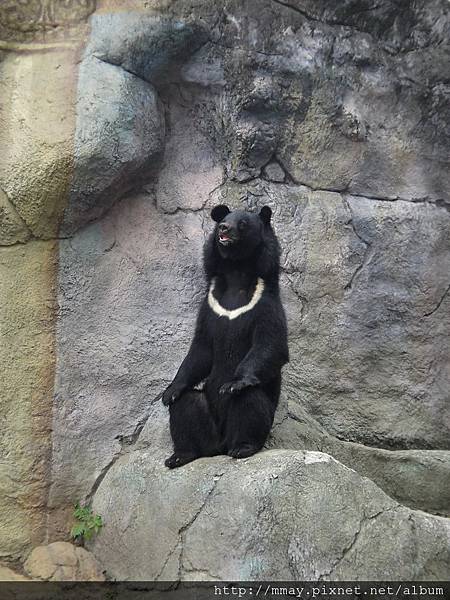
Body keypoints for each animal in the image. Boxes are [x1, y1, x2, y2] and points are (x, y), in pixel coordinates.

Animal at [162, 205, 288, 468]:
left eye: (242, 223)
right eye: (223, 219)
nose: (223, 229)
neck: (237, 272)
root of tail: (220, 445)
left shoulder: (266, 304)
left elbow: (271, 344)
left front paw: (234, 382)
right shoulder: (209, 306)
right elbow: (201, 350)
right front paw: (168, 391)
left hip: (255, 418)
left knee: (248, 400)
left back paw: (242, 447)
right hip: (207, 425)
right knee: (186, 403)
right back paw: (181, 454)